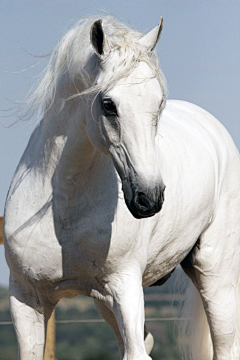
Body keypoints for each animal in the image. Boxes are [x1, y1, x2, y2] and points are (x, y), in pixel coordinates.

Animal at [2, 16, 240, 360]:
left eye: (159, 102)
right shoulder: (26, 300)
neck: (65, 210)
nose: (150, 198)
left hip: (215, 275)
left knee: (225, 344)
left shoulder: (125, 289)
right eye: (108, 104)